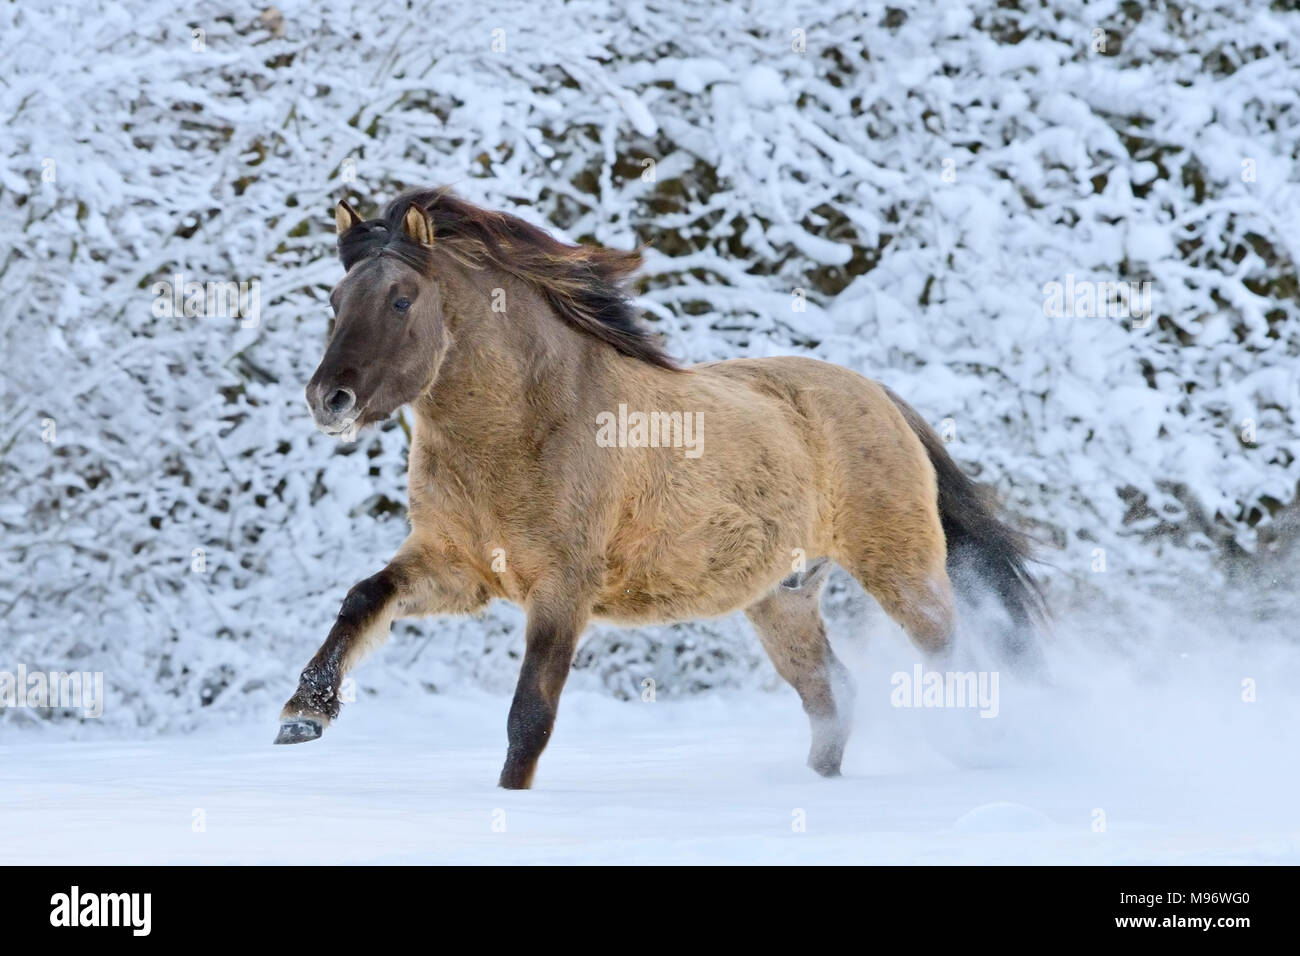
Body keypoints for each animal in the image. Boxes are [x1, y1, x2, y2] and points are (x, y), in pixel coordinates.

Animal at [276, 188, 1045, 790]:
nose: (328, 399)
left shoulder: (563, 587)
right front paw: (303, 714)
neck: (524, 427)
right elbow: (364, 598)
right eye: (336, 299)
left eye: (401, 299)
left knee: (953, 661)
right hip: (783, 598)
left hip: (902, 571)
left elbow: (530, 717)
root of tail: (881, 397)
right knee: (833, 692)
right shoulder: (457, 568)